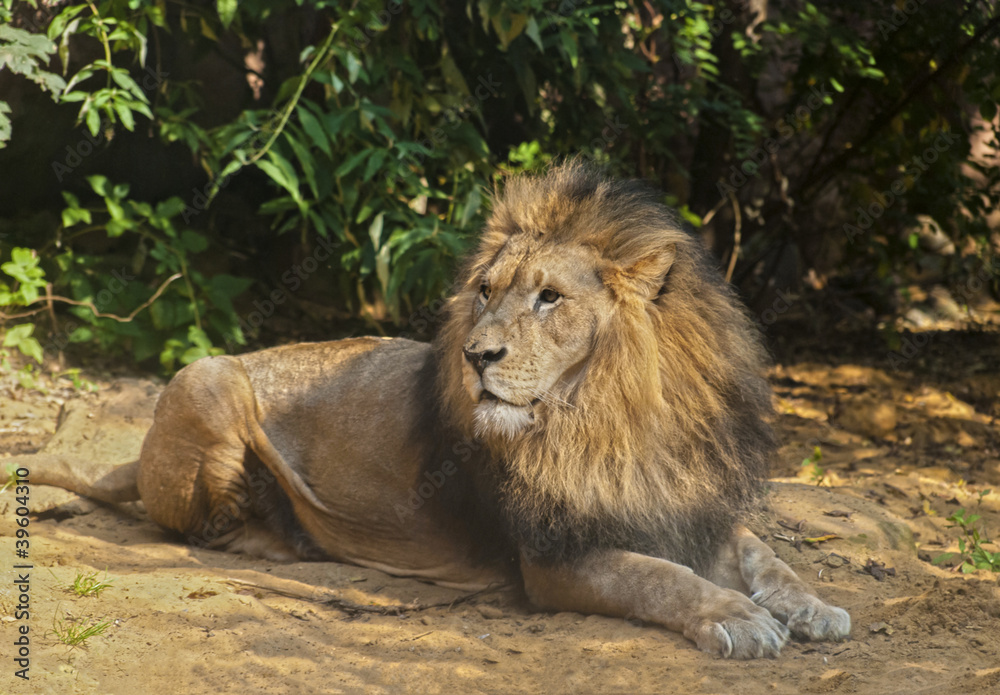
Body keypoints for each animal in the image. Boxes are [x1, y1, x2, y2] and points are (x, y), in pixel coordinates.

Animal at [24, 162, 849, 658]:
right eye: (485, 290)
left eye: (550, 297)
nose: (476, 355)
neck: (610, 415)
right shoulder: (554, 557)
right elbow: (659, 576)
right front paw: (737, 617)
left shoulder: (691, 505)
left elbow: (766, 554)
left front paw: (813, 606)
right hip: (209, 375)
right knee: (208, 525)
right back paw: (284, 533)